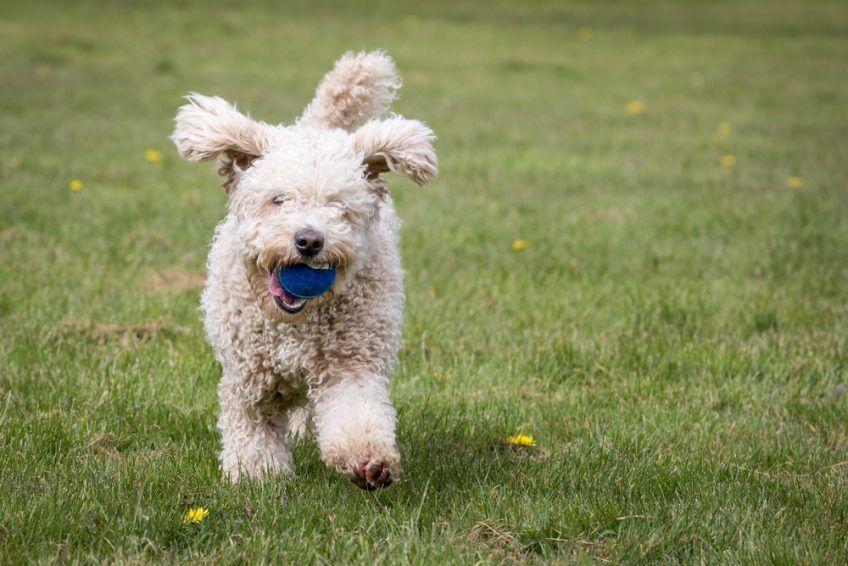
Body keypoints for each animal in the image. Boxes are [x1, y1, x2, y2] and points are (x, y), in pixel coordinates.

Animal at [171, 51, 438, 490]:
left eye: (340, 208)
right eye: (279, 199)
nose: (309, 240)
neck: (295, 324)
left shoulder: (351, 361)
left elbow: (355, 411)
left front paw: (369, 461)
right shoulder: (250, 374)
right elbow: (252, 422)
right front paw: (256, 475)